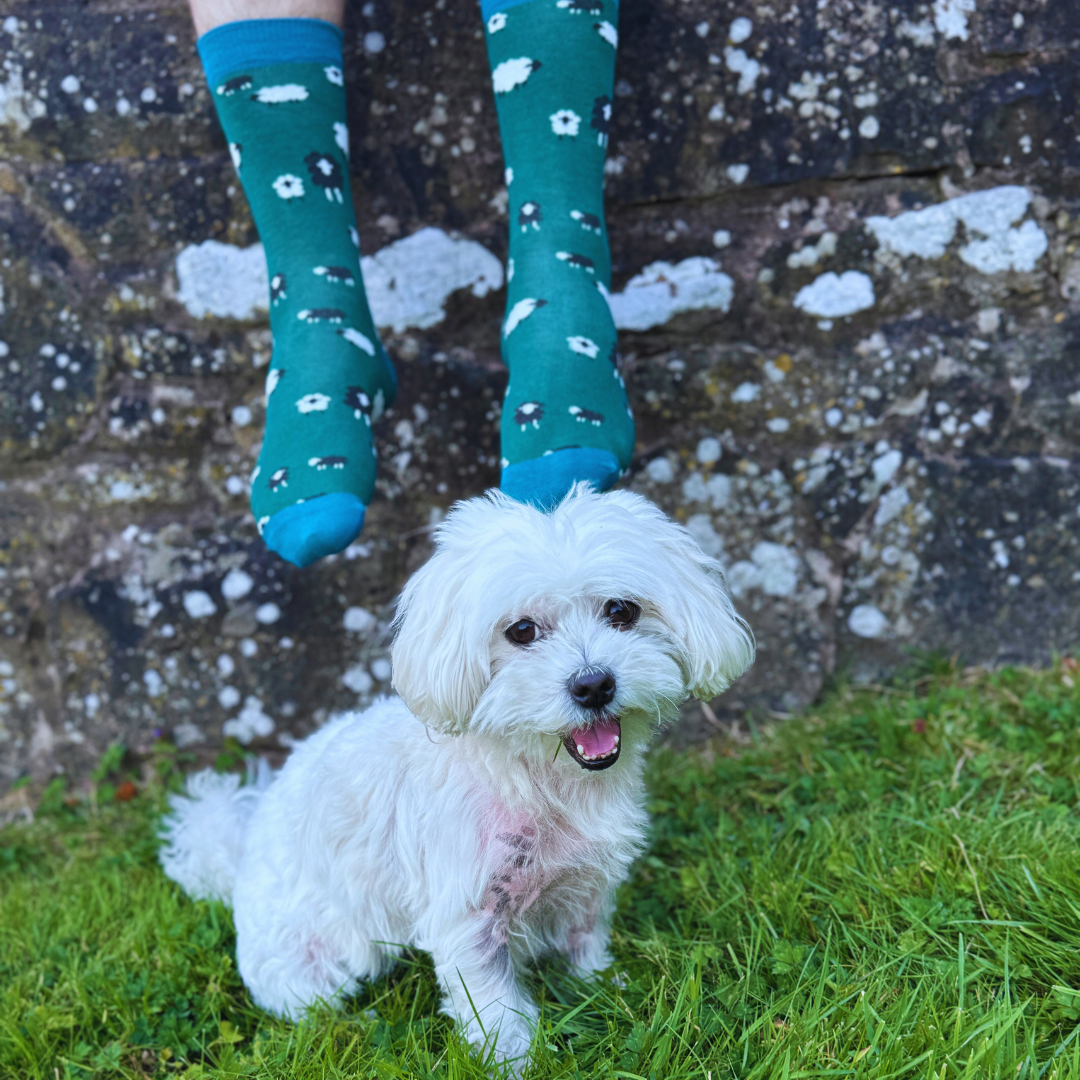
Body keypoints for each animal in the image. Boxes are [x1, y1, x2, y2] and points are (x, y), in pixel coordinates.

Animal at [159, 492, 756, 1071]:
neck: (536, 779)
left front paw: (605, 987)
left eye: (621, 610)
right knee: (311, 1006)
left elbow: (583, 943)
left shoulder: (586, 885)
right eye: (521, 631)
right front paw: (514, 1060)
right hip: (302, 963)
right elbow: (495, 1007)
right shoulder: (469, 915)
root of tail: (241, 851)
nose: (593, 685)